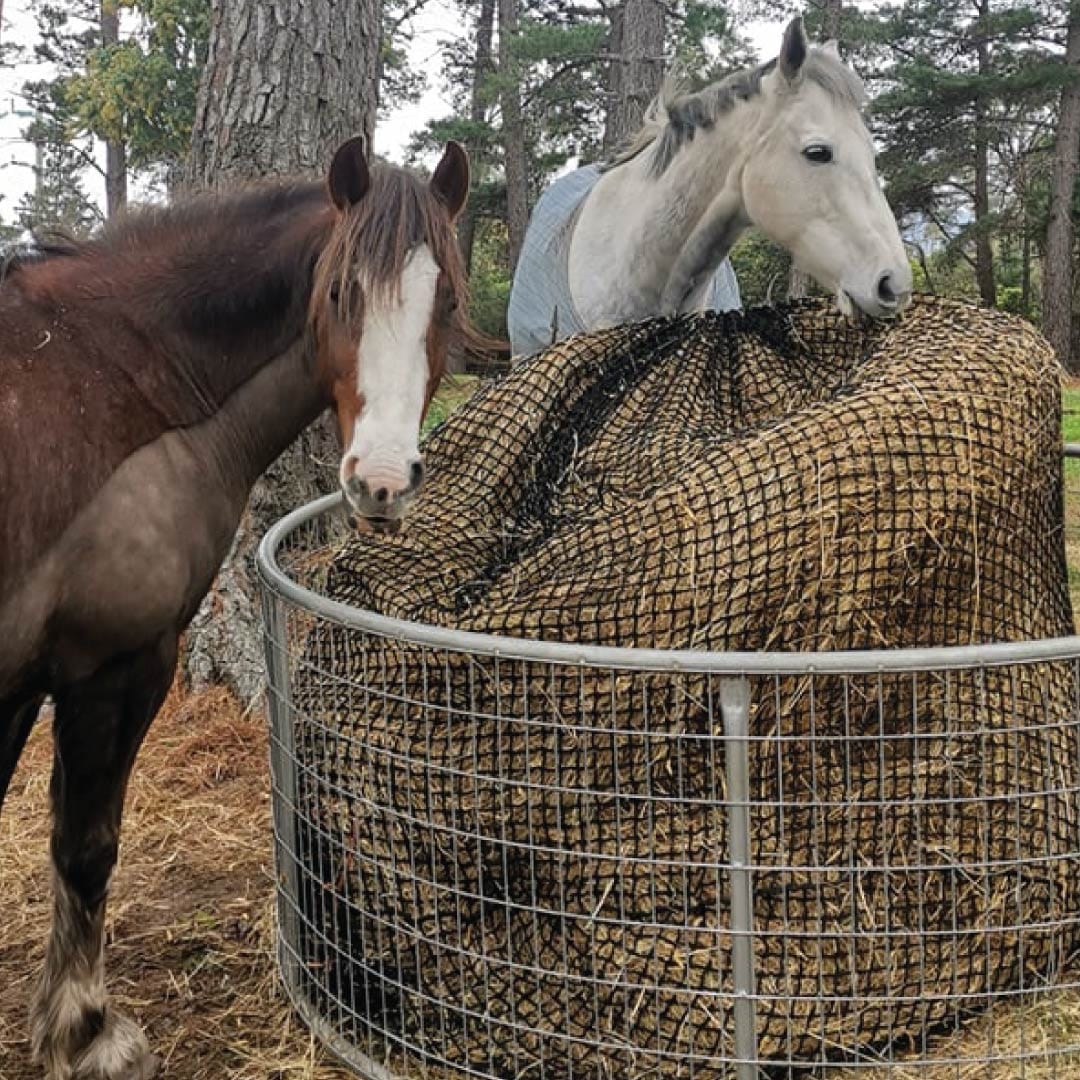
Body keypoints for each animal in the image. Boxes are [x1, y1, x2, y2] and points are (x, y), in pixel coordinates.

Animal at [0, 134, 471, 1080]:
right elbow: (86, 843)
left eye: (444, 301)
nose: (383, 482)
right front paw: (85, 1030)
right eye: (342, 292)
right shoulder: (116, 663)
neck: (116, 380)